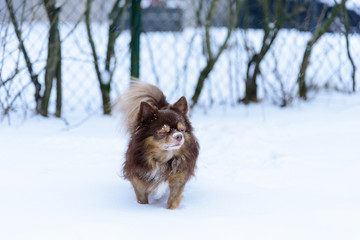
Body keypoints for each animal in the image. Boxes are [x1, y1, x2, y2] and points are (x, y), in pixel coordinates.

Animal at [117, 81, 200, 209]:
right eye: (162, 132)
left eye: (182, 130)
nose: (179, 136)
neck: (163, 160)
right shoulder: (139, 183)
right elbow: (142, 199)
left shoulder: (178, 181)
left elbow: (173, 201)